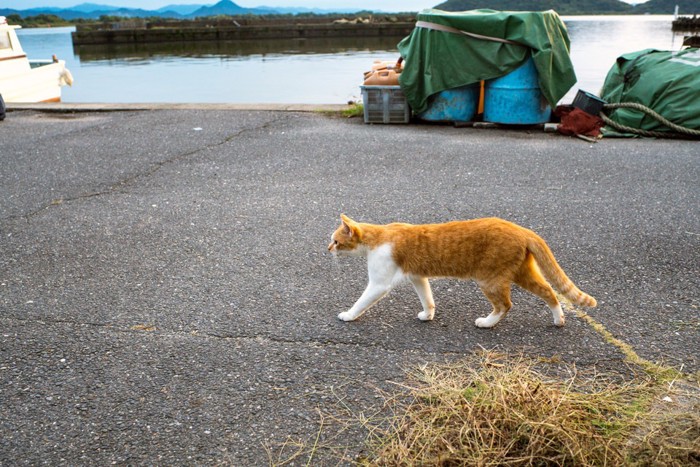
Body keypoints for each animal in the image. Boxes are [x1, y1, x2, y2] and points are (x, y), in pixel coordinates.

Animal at [328, 214, 596, 328]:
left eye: (336, 241)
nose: (327, 248)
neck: (378, 236)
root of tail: (520, 229)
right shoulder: (418, 277)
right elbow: (427, 298)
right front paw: (428, 315)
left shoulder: (379, 284)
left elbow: (362, 301)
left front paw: (349, 315)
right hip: (522, 272)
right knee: (549, 291)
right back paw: (559, 319)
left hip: (490, 279)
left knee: (505, 305)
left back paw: (487, 322)